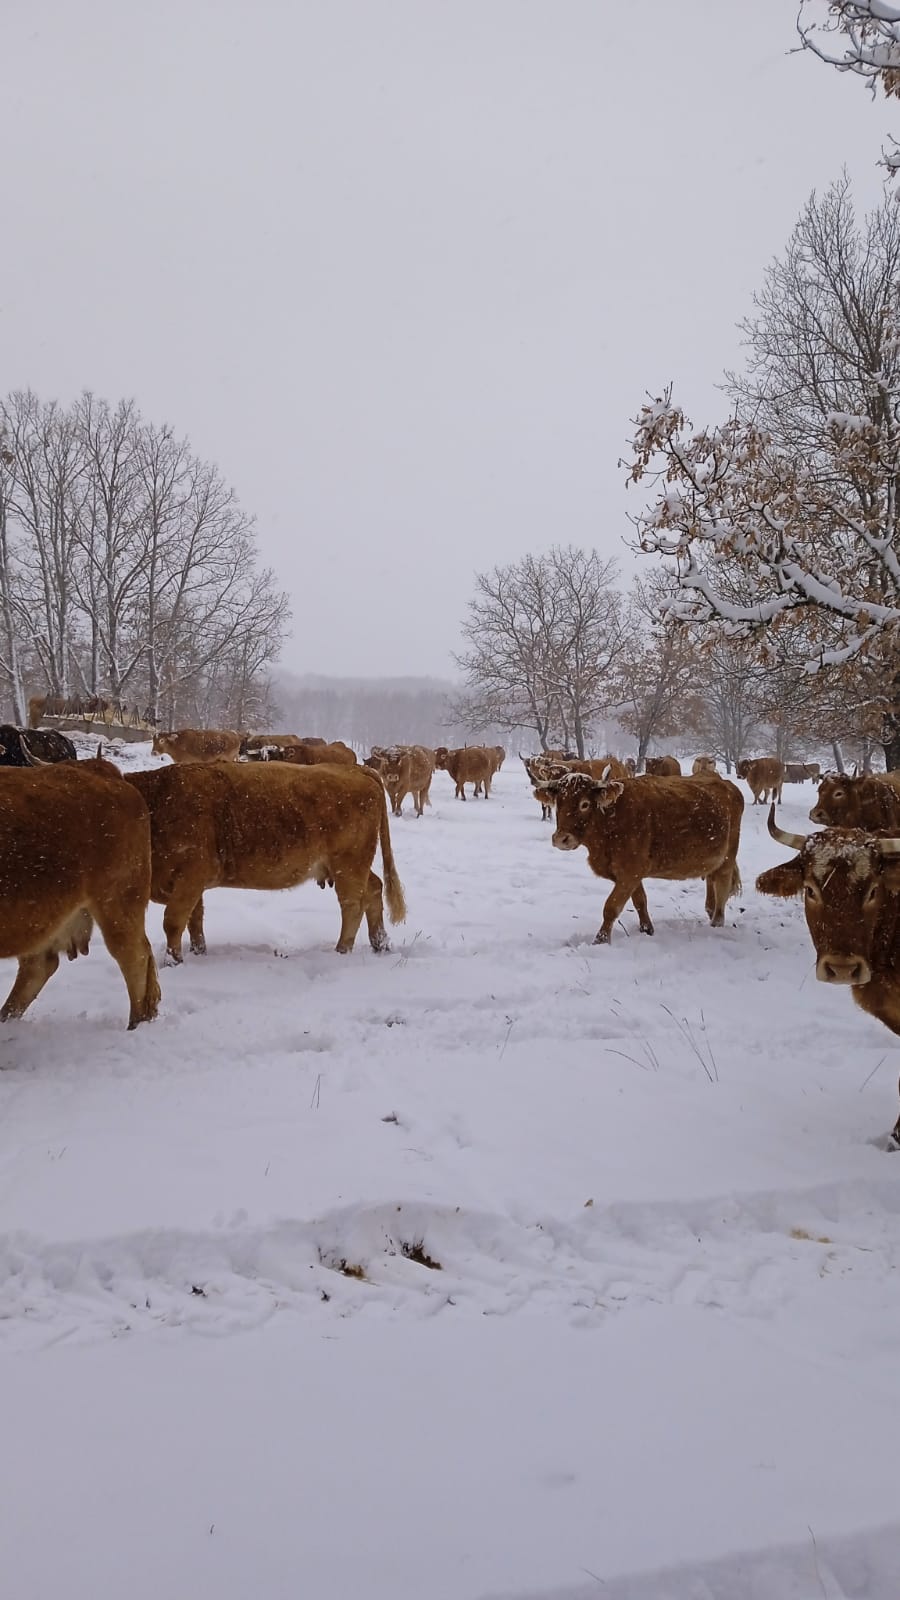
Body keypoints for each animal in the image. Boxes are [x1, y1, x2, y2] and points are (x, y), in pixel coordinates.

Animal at [120, 761, 400, 960]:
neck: (157, 801)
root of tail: (356, 769)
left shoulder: (190, 876)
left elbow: (173, 922)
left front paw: (173, 961)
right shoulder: (189, 885)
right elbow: (194, 920)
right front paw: (199, 953)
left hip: (349, 866)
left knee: (352, 904)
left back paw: (342, 950)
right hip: (350, 866)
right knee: (374, 888)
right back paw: (380, 943)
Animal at [544, 768, 739, 940]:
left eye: (584, 804)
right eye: (558, 803)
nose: (561, 839)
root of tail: (726, 784)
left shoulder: (630, 872)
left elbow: (611, 907)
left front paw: (601, 939)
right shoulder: (629, 874)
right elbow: (640, 901)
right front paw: (647, 929)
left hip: (728, 858)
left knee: (722, 887)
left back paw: (717, 923)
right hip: (713, 860)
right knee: (711, 880)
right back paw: (710, 911)